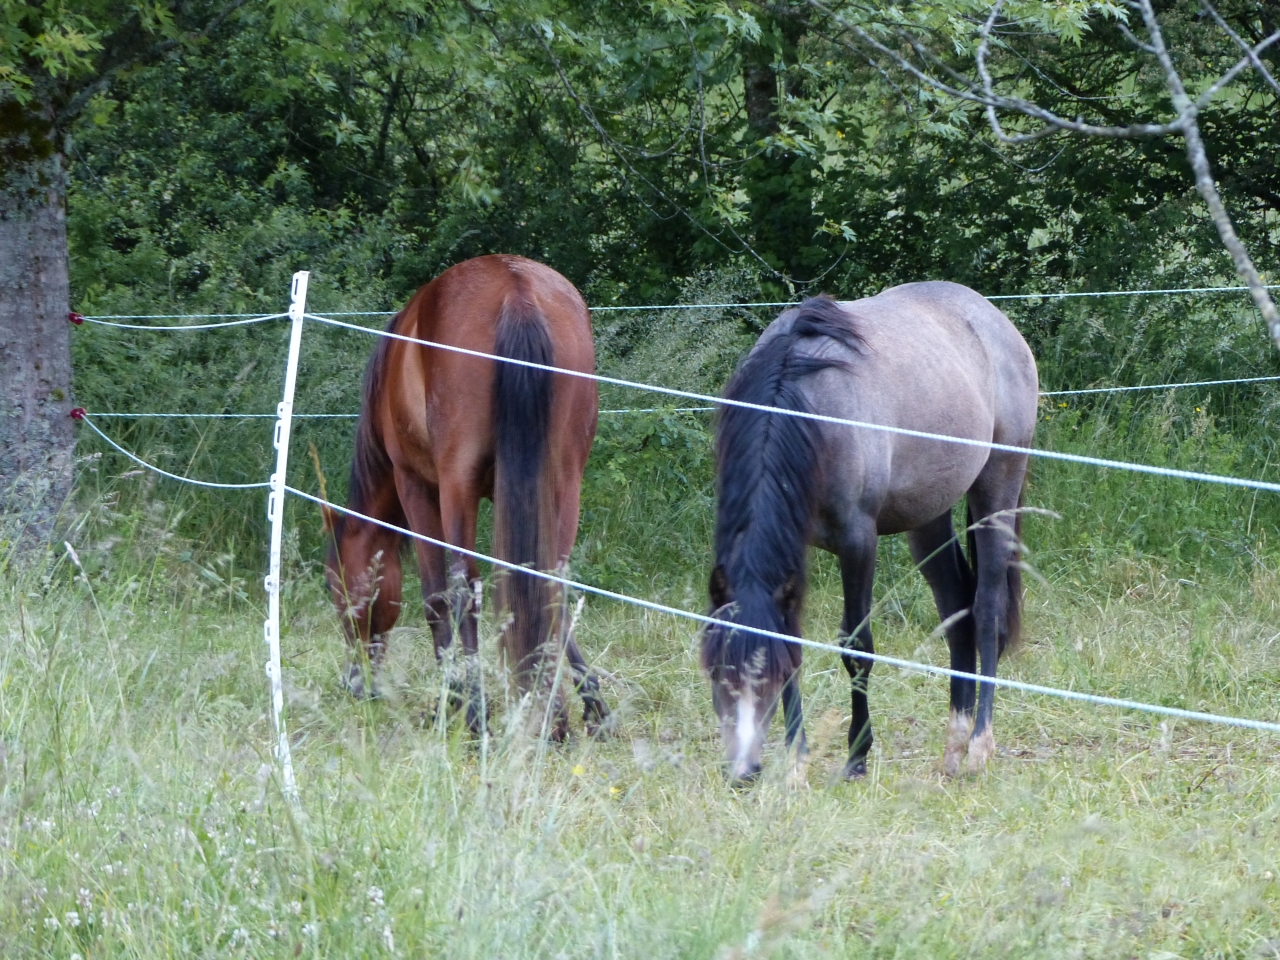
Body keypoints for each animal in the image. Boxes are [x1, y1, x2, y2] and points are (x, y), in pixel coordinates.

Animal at [320, 254, 610, 739]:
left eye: (333, 584)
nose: (355, 682)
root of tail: (515, 287)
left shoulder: (416, 485)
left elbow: (437, 596)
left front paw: (451, 700)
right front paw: (590, 702)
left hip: (458, 486)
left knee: (463, 588)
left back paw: (475, 711)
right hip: (565, 480)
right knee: (553, 580)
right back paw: (563, 711)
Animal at [702, 283, 1038, 782]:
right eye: (716, 671)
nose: (744, 771)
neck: (809, 406)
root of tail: (994, 319)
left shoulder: (858, 542)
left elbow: (856, 646)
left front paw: (857, 756)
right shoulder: (795, 550)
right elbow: (794, 637)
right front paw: (796, 761)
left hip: (997, 490)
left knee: (987, 611)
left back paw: (979, 745)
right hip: (929, 519)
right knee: (957, 609)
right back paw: (954, 747)